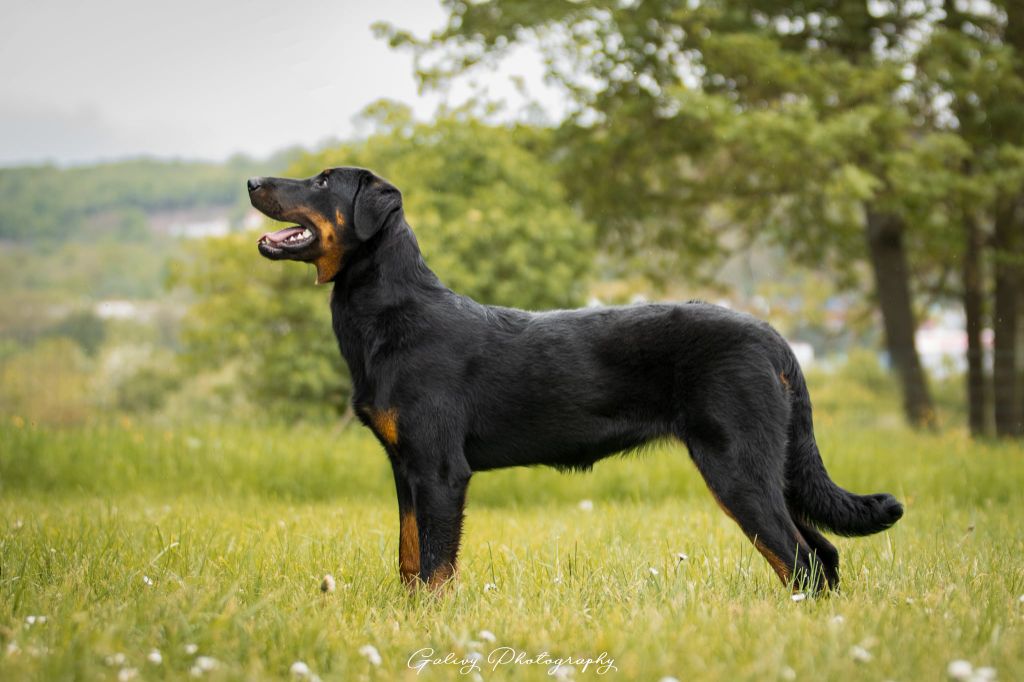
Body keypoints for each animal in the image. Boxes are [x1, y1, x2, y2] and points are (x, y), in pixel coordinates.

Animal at [247, 166, 905, 593]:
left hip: (737, 466)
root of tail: (770, 335)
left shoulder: (438, 470)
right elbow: (410, 560)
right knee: (821, 554)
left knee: (798, 556)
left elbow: (433, 567)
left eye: (323, 182)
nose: (253, 183)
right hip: (771, 467)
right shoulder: (405, 469)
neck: (390, 314)